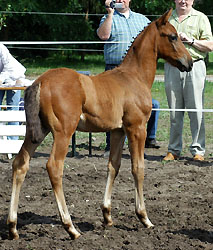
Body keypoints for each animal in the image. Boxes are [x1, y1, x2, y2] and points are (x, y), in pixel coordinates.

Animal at [7, 9, 193, 240]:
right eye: (173, 36)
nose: (189, 62)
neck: (133, 77)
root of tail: (39, 81)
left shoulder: (117, 131)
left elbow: (113, 165)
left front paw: (107, 216)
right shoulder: (137, 128)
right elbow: (138, 168)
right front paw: (144, 217)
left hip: (37, 132)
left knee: (20, 164)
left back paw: (13, 227)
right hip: (63, 132)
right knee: (54, 167)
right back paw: (70, 227)